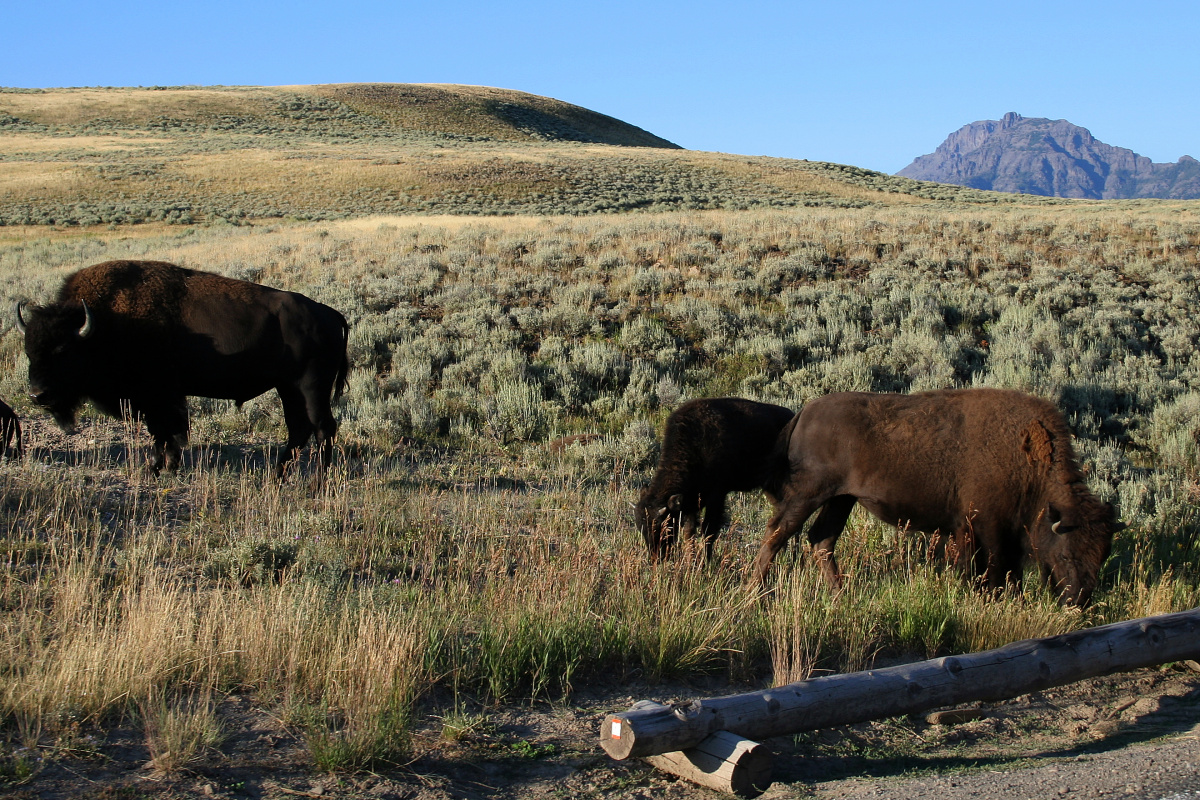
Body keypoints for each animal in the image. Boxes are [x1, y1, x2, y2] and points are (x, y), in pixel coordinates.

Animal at [16, 261, 350, 474]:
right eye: (29, 351)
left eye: (62, 351)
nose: (37, 395)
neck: (103, 324)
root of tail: (331, 315)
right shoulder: (161, 398)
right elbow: (165, 432)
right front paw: (162, 466)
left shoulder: (158, 396)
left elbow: (166, 432)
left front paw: (159, 468)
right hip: (288, 388)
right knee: (299, 429)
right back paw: (277, 476)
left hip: (311, 387)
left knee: (323, 427)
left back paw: (318, 482)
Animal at [638, 398, 796, 561]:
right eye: (640, 526)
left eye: (662, 524)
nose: (657, 557)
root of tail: (792, 415)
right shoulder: (692, 501)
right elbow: (689, 532)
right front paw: (690, 560)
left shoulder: (717, 495)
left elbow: (709, 530)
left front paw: (706, 562)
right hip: (770, 488)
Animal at [758, 388, 1123, 606]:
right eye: (1067, 554)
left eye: (1102, 555)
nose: (1077, 602)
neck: (1029, 464)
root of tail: (804, 412)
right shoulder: (985, 528)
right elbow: (988, 569)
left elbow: (1009, 572)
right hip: (808, 495)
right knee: (777, 535)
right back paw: (759, 593)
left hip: (841, 499)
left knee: (821, 540)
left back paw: (841, 596)